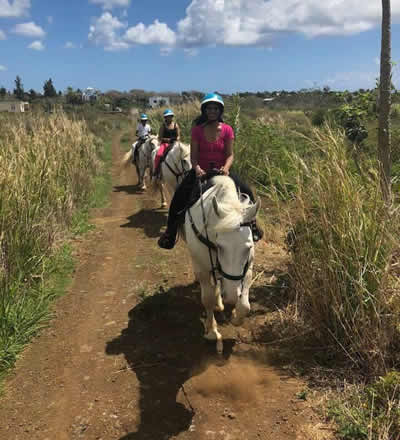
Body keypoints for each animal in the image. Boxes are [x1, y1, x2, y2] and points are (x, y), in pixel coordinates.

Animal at [184, 175, 260, 354]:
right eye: (220, 247)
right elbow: (207, 299)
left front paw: (236, 318)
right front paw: (212, 331)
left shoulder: (248, 267)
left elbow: (245, 305)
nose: (231, 296)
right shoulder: (203, 269)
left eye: (248, 248)